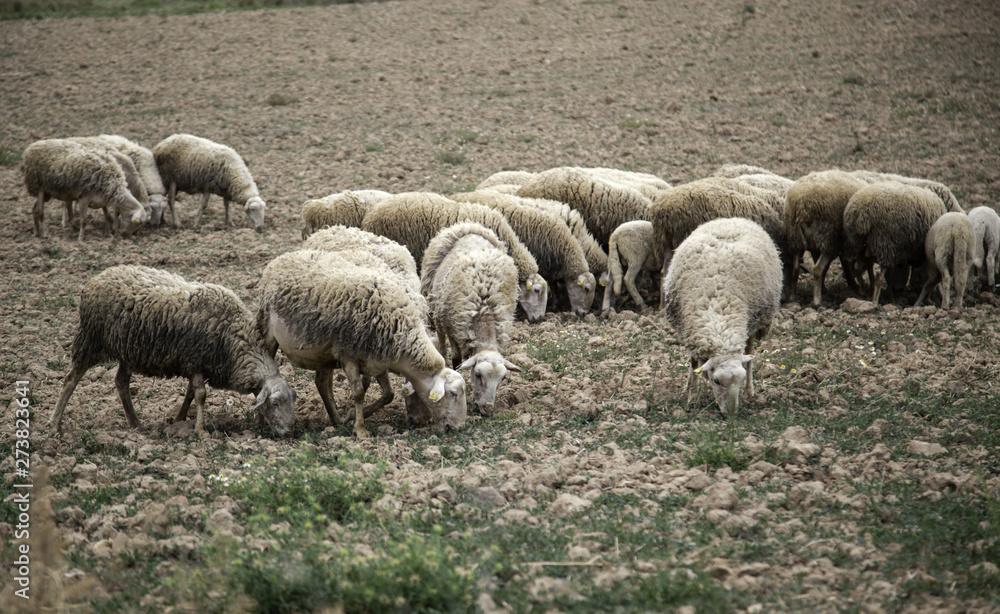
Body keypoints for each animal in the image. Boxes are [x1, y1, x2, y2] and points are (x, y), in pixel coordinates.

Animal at [50, 265, 296, 438]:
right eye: (275, 403)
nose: (290, 432)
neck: (235, 341)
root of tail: (97, 278)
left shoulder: (196, 364)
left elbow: (190, 393)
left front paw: (180, 420)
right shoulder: (196, 358)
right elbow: (200, 394)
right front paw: (201, 431)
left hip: (128, 351)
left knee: (121, 381)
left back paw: (135, 424)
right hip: (91, 340)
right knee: (70, 380)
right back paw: (54, 425)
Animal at [257, 248, 467, 439]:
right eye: (453, 393)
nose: (458, 428)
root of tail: (283, 256)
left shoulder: (377, 361)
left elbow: (389, 394)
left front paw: (353, 415)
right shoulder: (349, 355)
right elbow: (358, 393)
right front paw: (360, 429)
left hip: (322, 353)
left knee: (322, 383)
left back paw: (336, 420)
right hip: (267, 331)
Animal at [421, 222, 521, 415]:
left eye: (503, 378)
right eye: (478, 374)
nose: (487, 410)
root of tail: (467, 224)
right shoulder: (453, 328)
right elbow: (457, 359)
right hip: (437, 309)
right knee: (441, 342)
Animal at [664, 217, 782, 415]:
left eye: (740, 380)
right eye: (716, 381)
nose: (732, 413)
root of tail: (733, 219)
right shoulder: (689, 331)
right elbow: (693, 363)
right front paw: (691, 396)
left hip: (755, 321)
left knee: (749, 353)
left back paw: (750, 391)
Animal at [783, 170, 869, 306]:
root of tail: (803, 206)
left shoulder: (816, 246)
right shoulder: (844, 243)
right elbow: (845, 263)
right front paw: (855, 285)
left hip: (796, 238)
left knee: (796, 268)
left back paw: (793, 298)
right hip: (828, 238)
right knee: (818, 268)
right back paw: (817, 301)